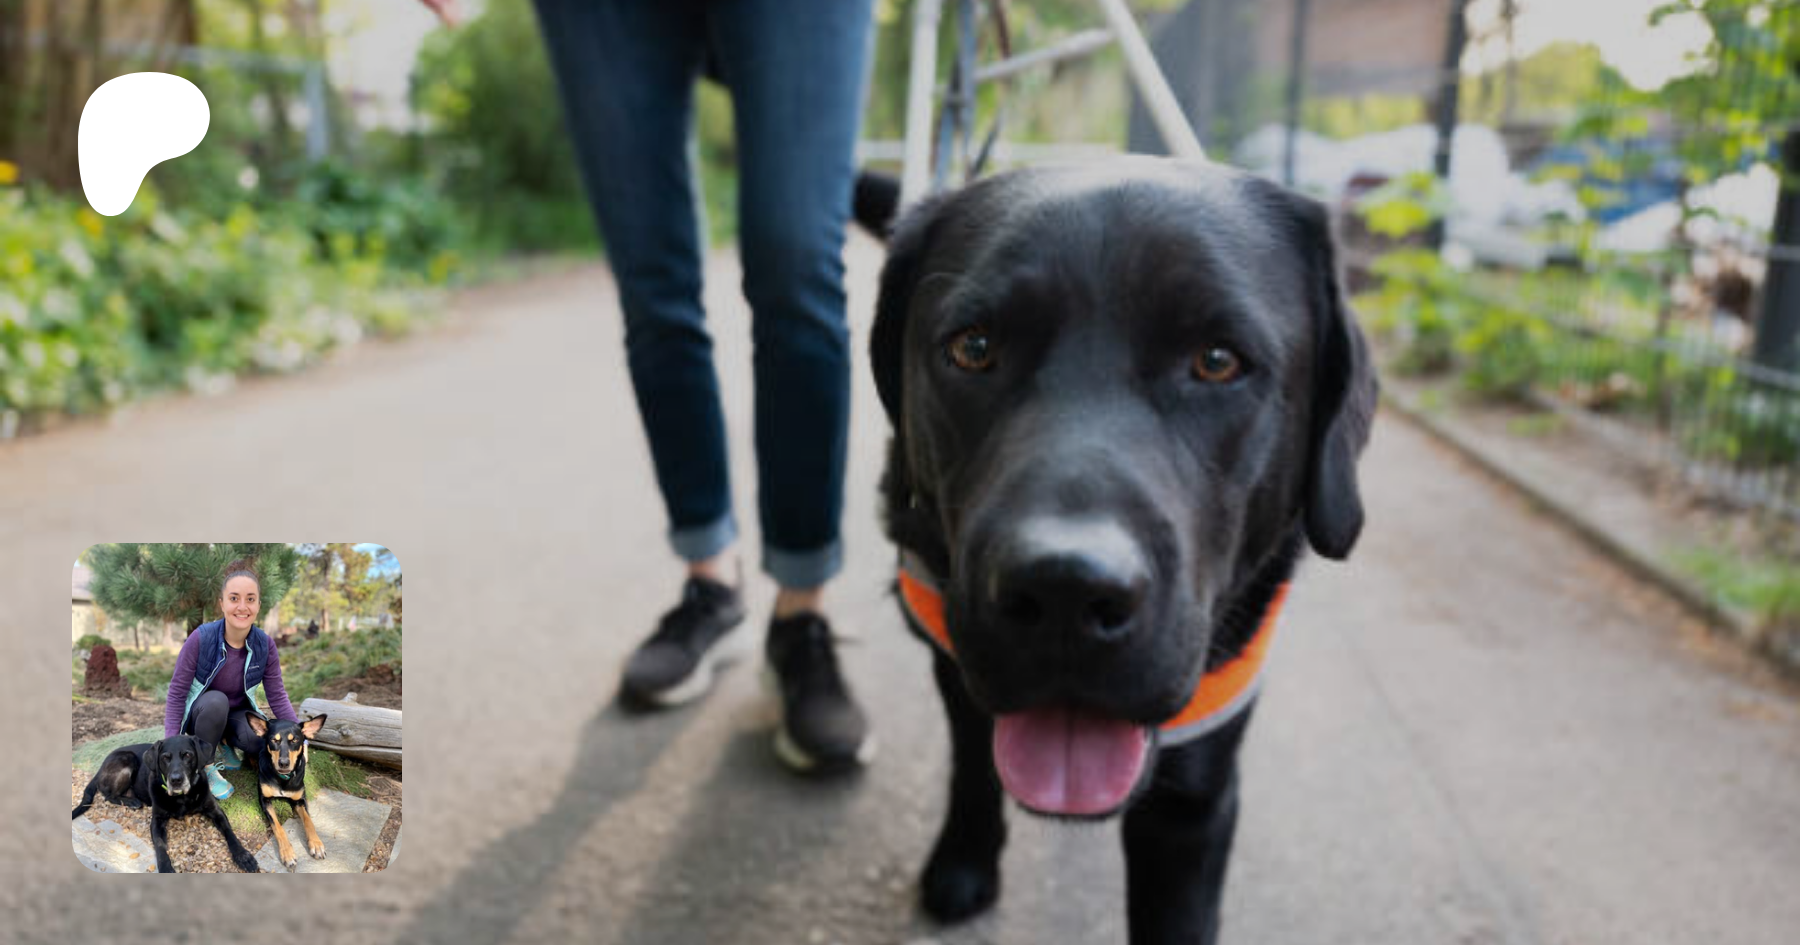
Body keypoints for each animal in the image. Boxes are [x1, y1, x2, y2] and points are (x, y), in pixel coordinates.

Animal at [71, 734, 262, 873]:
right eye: (165, 758)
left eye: (187, 755)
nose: (176, 780)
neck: (182, 797)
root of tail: (101, 765)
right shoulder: (157, 820)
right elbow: (161, 846)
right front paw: (165, 868)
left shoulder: (215, 811)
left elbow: (230, 833)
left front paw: (243, 856)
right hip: (127, 759)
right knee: (108, 795)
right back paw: (131, 801)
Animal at [246, 713, 329, 870]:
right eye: (274, 740)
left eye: (295, 740)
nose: (283, 763)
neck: (282, 778)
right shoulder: (264, 800)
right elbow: (278, 827)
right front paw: (287, 853)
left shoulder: (300, 799)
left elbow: (309, 820)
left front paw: (316, 844)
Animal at [862, 158, 1377, 944]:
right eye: (973, 348)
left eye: (1218, 361)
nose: (1065, 591)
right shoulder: (955, 664)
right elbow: (973, 765)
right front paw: (964, 861)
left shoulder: (1197, 799)